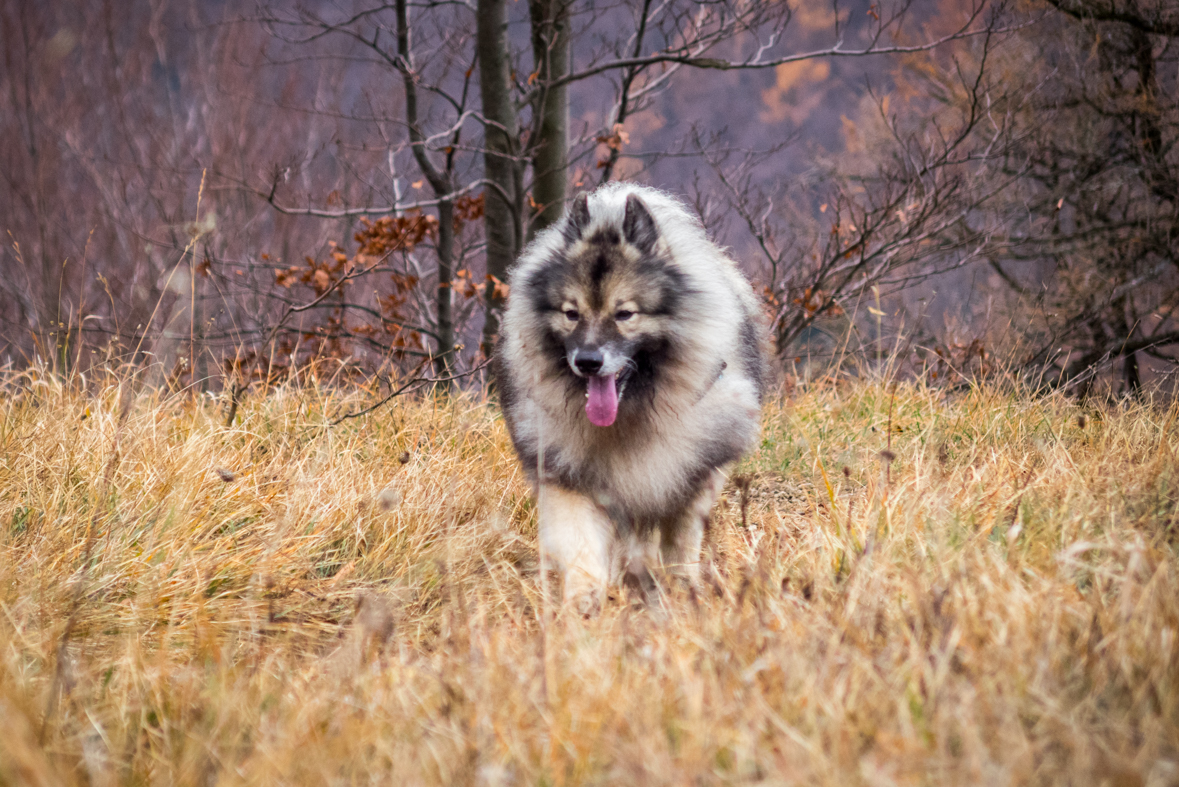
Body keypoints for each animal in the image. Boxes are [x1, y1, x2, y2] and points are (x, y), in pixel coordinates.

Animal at [492, 184, 768, 612]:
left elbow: (679, 543)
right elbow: (582, 546)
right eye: (571, 313)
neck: (631, 415)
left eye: (625, 314)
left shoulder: (691, 477)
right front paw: (584, 602)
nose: (588, 362)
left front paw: (680, 591)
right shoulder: (567, 476)